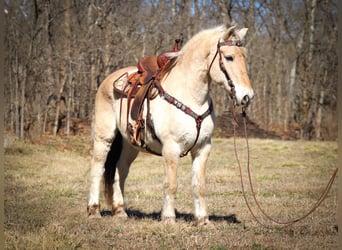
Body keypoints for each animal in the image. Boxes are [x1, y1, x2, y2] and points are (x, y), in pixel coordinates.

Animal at [87, 23, 254, 225]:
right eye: (229, 57)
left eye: (244, 56)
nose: (247, 96)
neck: (191, 96)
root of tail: (109, 80)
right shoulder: (171, 148)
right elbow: (171, 184)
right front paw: (168, 218)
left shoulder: (203, 148)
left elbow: (199, 185)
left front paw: (202, 220)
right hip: (104, 138)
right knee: (97, 168)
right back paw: (93, 210)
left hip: (129, 145)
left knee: (121, 171)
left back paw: (120, 211)